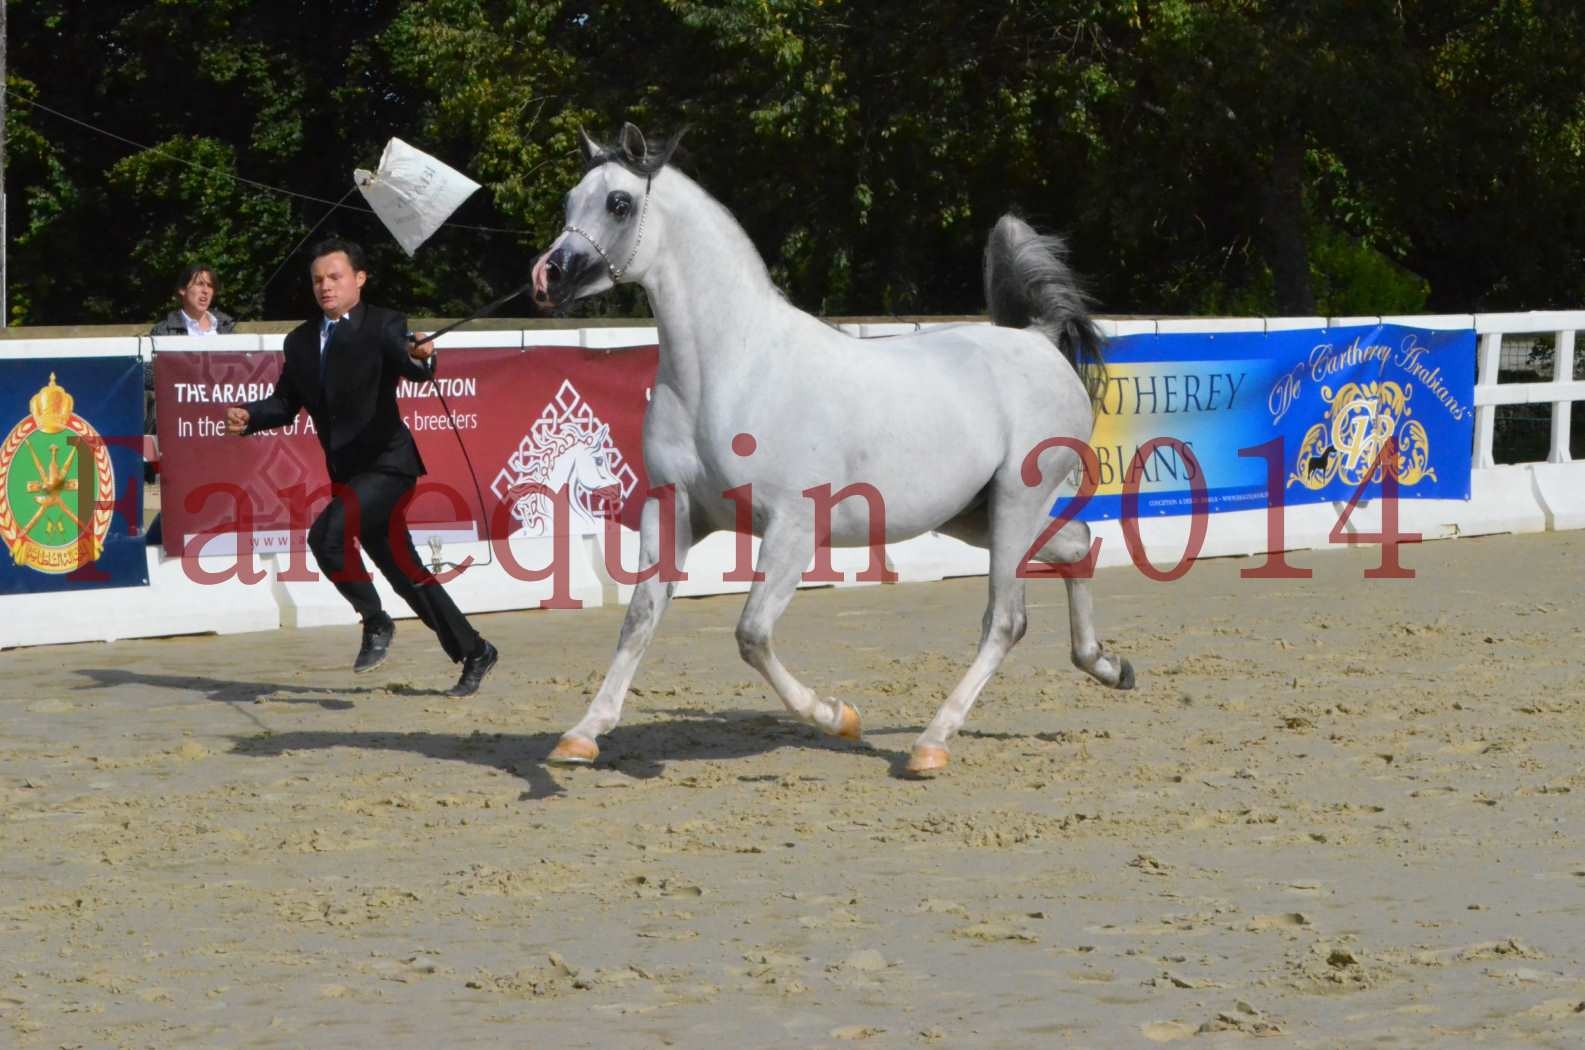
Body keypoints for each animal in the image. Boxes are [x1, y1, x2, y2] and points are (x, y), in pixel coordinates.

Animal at [538, 125, 1134, 780]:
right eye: (569, 200)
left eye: (619, 202)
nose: (549, 276)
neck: (733, 368)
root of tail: (1038, 342)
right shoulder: (672, 510)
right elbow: (640, 617)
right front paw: (582, 735)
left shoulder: (793, 527)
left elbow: (752, 634)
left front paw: (838, 716)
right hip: (974, 516)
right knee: (1077, 545)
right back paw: (1108, 666)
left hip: (1014, 504)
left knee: (1006, 620)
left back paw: (931, 744)